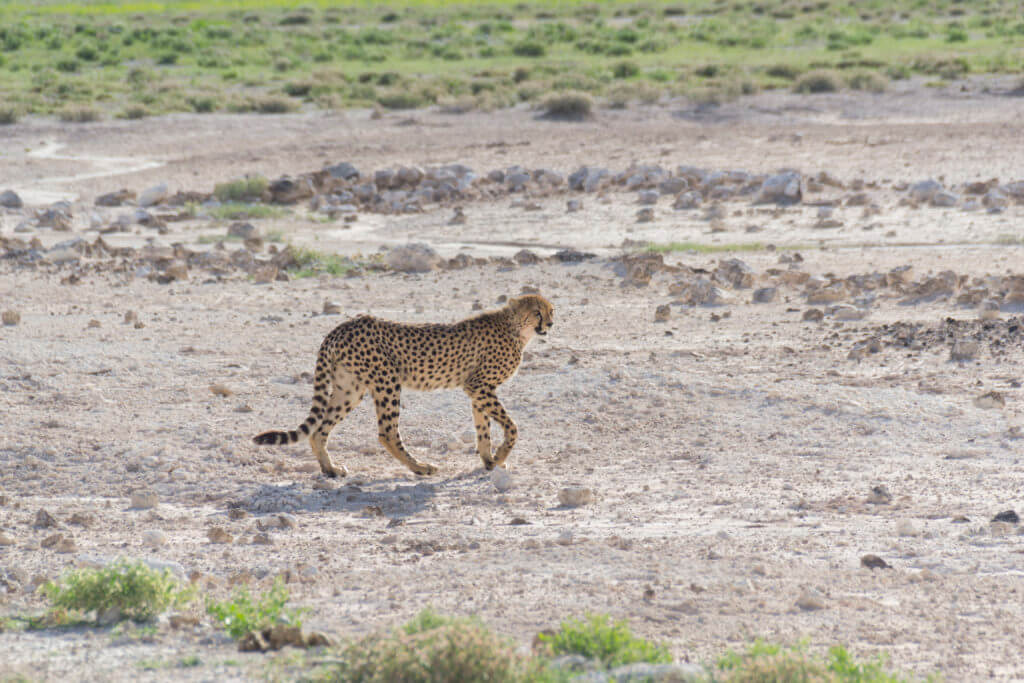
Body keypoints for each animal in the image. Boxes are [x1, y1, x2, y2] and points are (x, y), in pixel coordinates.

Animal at [252, 296, 557, 479]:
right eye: (536, 312)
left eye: (550, 310)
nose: (550, 323)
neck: (515, 328)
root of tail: (345, 324)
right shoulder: (479, 385)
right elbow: (512, 426)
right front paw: (501, 456)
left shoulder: (477, 389)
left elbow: (483, 429)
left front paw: (490, 461)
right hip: (387, 382)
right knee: (387, 433)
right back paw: (421, 467)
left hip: (350, 388)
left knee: (319, 430)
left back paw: (330, 469)